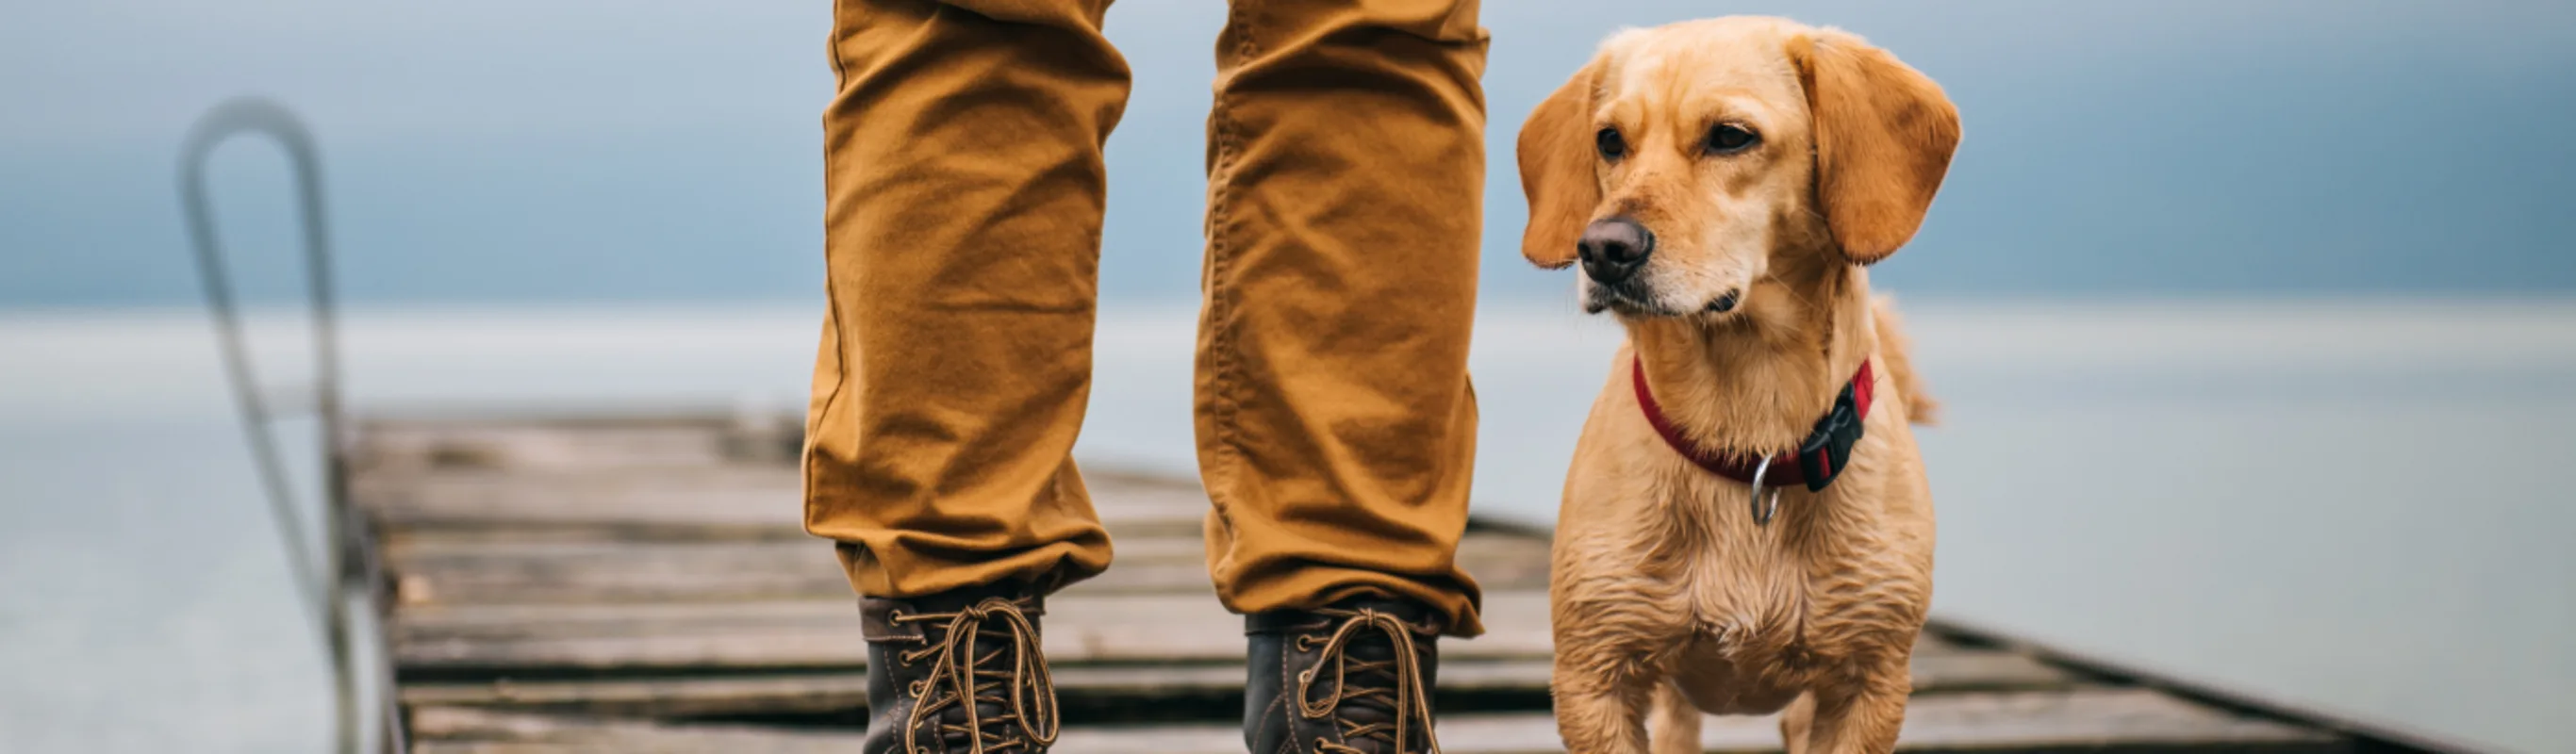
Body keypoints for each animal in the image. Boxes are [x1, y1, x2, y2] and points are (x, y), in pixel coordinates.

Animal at [1514, 16, 1957, 751]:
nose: (1601, 248)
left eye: (1730, 136)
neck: (1748, 433)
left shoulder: (1868, 686)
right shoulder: (1595, 680)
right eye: (1609, 140)